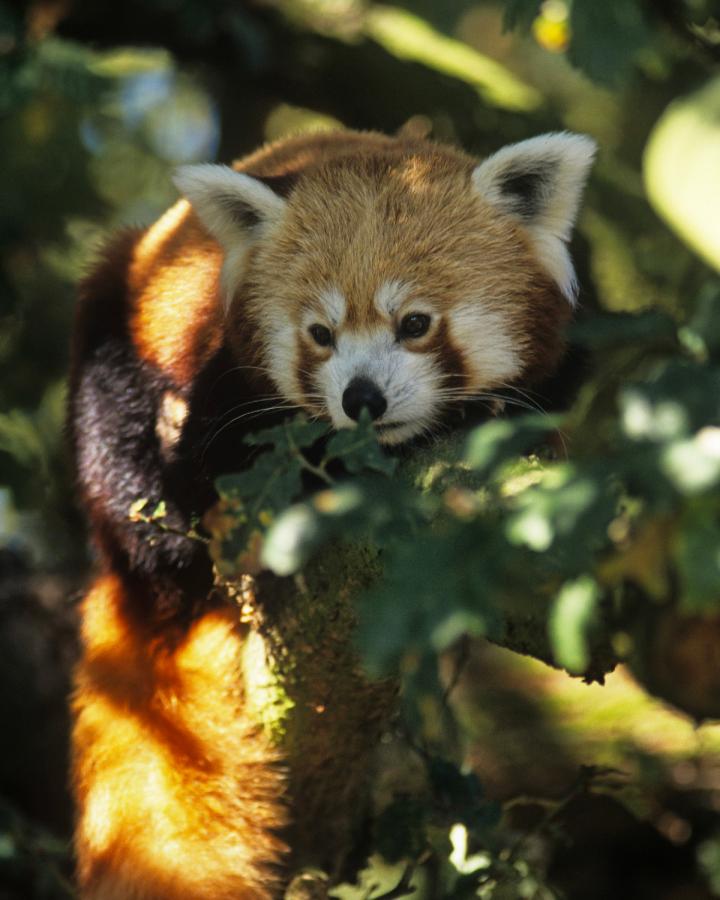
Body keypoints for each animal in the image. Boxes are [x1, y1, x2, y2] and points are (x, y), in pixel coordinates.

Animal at [69, 128, 596, 900]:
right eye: (320, 333)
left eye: (415, 324)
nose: (362, 399)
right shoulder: (222, 391)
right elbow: (218, 469)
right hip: (115, 343)